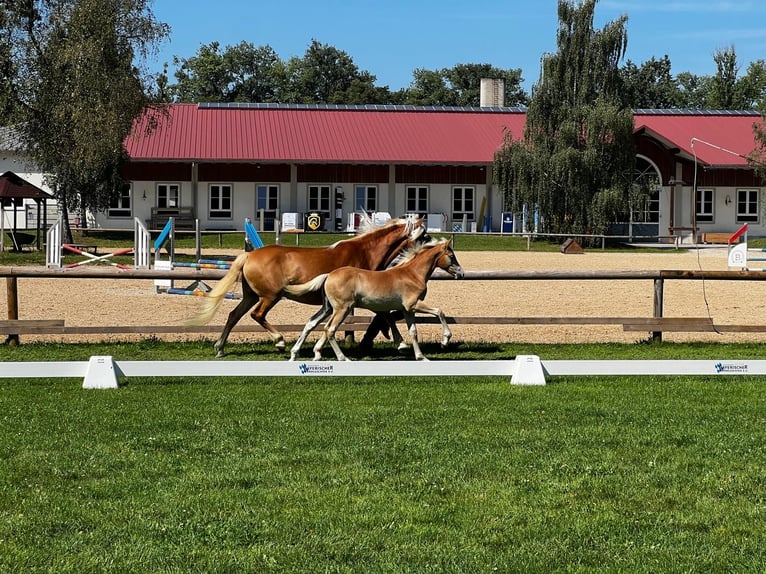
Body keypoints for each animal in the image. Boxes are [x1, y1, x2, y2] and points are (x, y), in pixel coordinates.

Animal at [187, 217, 426, 356]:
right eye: (423, 234)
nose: (433, 244)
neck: (364, 251)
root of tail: (249, 255)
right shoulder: (360, 298)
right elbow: (385, 315)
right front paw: (401, 343)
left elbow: (384, 315)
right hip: (269, 296)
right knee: (257, 315)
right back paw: (279, 341)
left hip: (251, 295)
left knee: (233, 315)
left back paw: (220, 348)